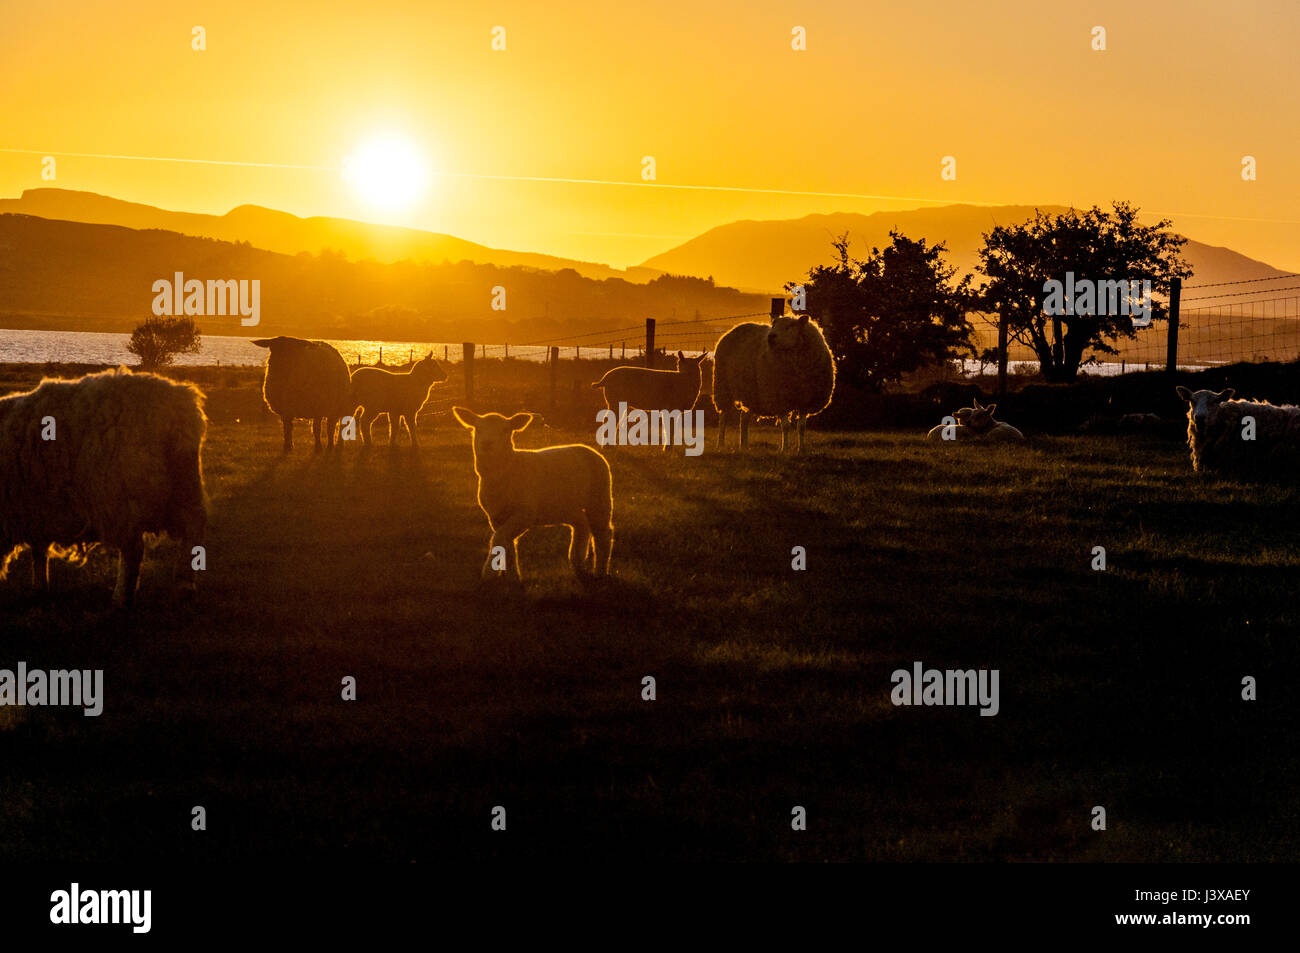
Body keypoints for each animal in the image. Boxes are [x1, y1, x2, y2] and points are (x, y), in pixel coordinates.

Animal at [0, 369, 208, 605]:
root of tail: (181, 405)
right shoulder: (36, 512)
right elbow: (39, 552)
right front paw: (40, 588)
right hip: (185, 487)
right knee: (193, 529)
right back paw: (184, 586)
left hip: (119, 496)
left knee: (133, 549)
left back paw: (121, 598)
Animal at [452, 403, 613, 579]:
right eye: (478, 429)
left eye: (505, 430)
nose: (487, 444)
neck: (509, 469)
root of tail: (590, 449)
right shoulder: (495, 516)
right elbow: (507, 543)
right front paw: (512, 574)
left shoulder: (526, 512)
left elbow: (498, 538)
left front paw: (488, 572)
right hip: (567, 505)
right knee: (582, 524)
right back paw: (577, 560)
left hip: (600, 498)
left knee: (603, 534)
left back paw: (600, 570)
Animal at [712, 308, 832, 449]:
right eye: (774, 325)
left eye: (789, 327)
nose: (771, 336)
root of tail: (734, 328)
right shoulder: (779, 399)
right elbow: (785, 427)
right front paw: (784, 449)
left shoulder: (805, 401)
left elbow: (801, 427)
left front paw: (801, 449)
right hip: (723, 386)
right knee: (723, 418)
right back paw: (721, 444)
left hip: (750, 394)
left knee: (744, 419)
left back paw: (744, 446)